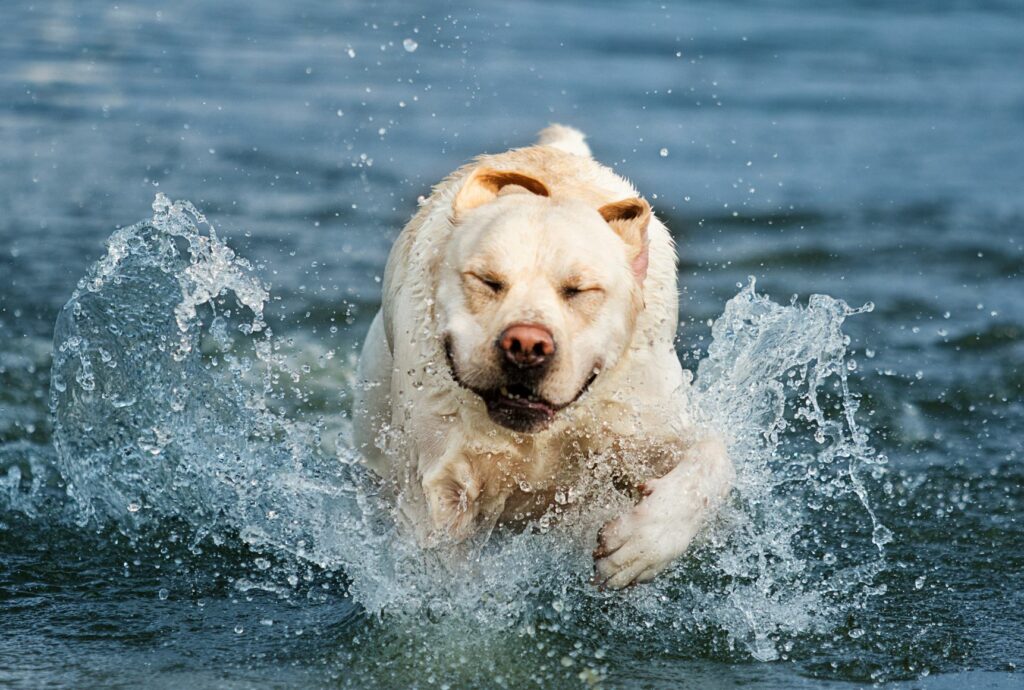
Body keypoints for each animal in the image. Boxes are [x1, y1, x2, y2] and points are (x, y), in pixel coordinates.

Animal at [356, 123, 733, 585]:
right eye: (487, 280)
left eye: (578, 289)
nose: (526, 345)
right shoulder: (441, 481)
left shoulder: (645, 426)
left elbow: (714, 457)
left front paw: (641, 545)